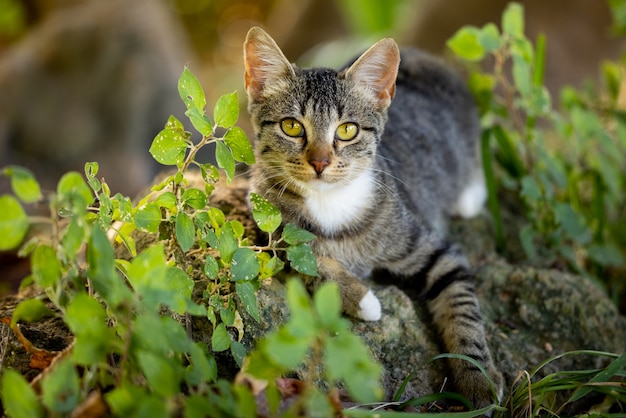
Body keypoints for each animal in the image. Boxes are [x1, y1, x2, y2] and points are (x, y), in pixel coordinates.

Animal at [241, 27, 500, 412]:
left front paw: (477, 380)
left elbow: (462, 310)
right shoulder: (267, 225)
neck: (331, 202)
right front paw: (363, 300)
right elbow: (306, 260)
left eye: (347, 130)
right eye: (291, 126)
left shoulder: (437, 251)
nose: (320, 162)